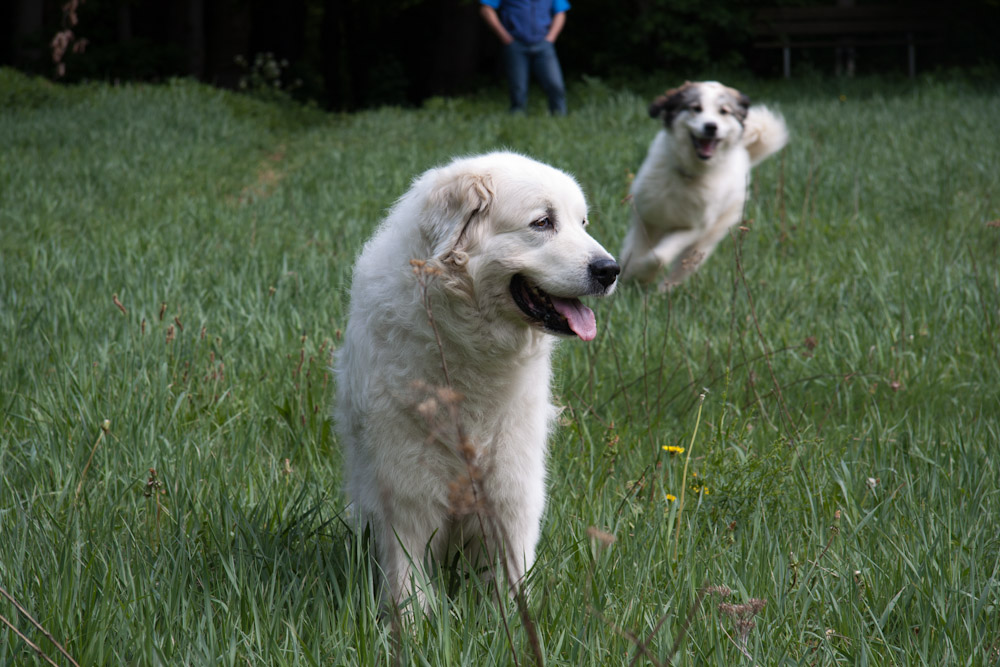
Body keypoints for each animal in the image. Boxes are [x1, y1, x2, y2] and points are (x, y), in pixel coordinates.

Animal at [336, 151, 616, 616]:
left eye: (582, 223)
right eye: (543, 222)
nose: (611, 270)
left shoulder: (511, 488)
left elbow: (511, 575)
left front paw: (514, 623)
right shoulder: (405, 490)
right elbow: (407, 578)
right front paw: (412, 625)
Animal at [616, 81, 788, 288]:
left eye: (723, 111)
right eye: (696, 108)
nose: (711, 126)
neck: (688, 175)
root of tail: (744, 153)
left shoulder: (694, 228)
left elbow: (658, 257)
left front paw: (641, 274)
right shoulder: (645, 216)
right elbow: (634, 250)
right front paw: (629, 274)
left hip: (708, 238)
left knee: (681, 268)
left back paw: (666, 289)